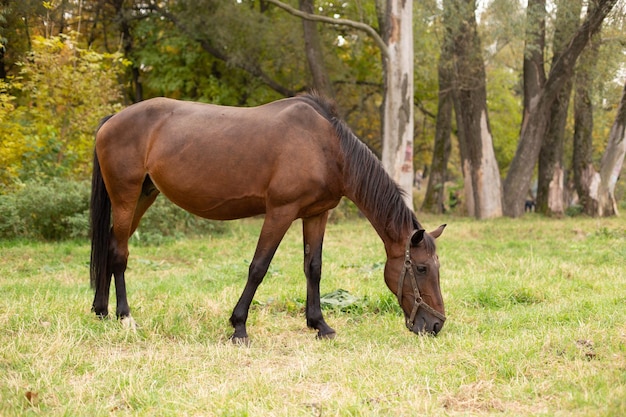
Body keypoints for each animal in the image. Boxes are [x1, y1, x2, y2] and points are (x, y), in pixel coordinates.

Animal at [90, 92, 446, 342]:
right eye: (422, 268)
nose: (436, 324)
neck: (327, 147)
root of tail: (112, 119)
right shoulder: (280, 212)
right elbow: (258, 268)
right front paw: (239, 327)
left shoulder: (316, 214)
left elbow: (313, 268)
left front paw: (320, 325)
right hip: (126, 196)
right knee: (120, 254)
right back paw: (125, 317)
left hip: (143, 196)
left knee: (110, 245)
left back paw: (101, 311)